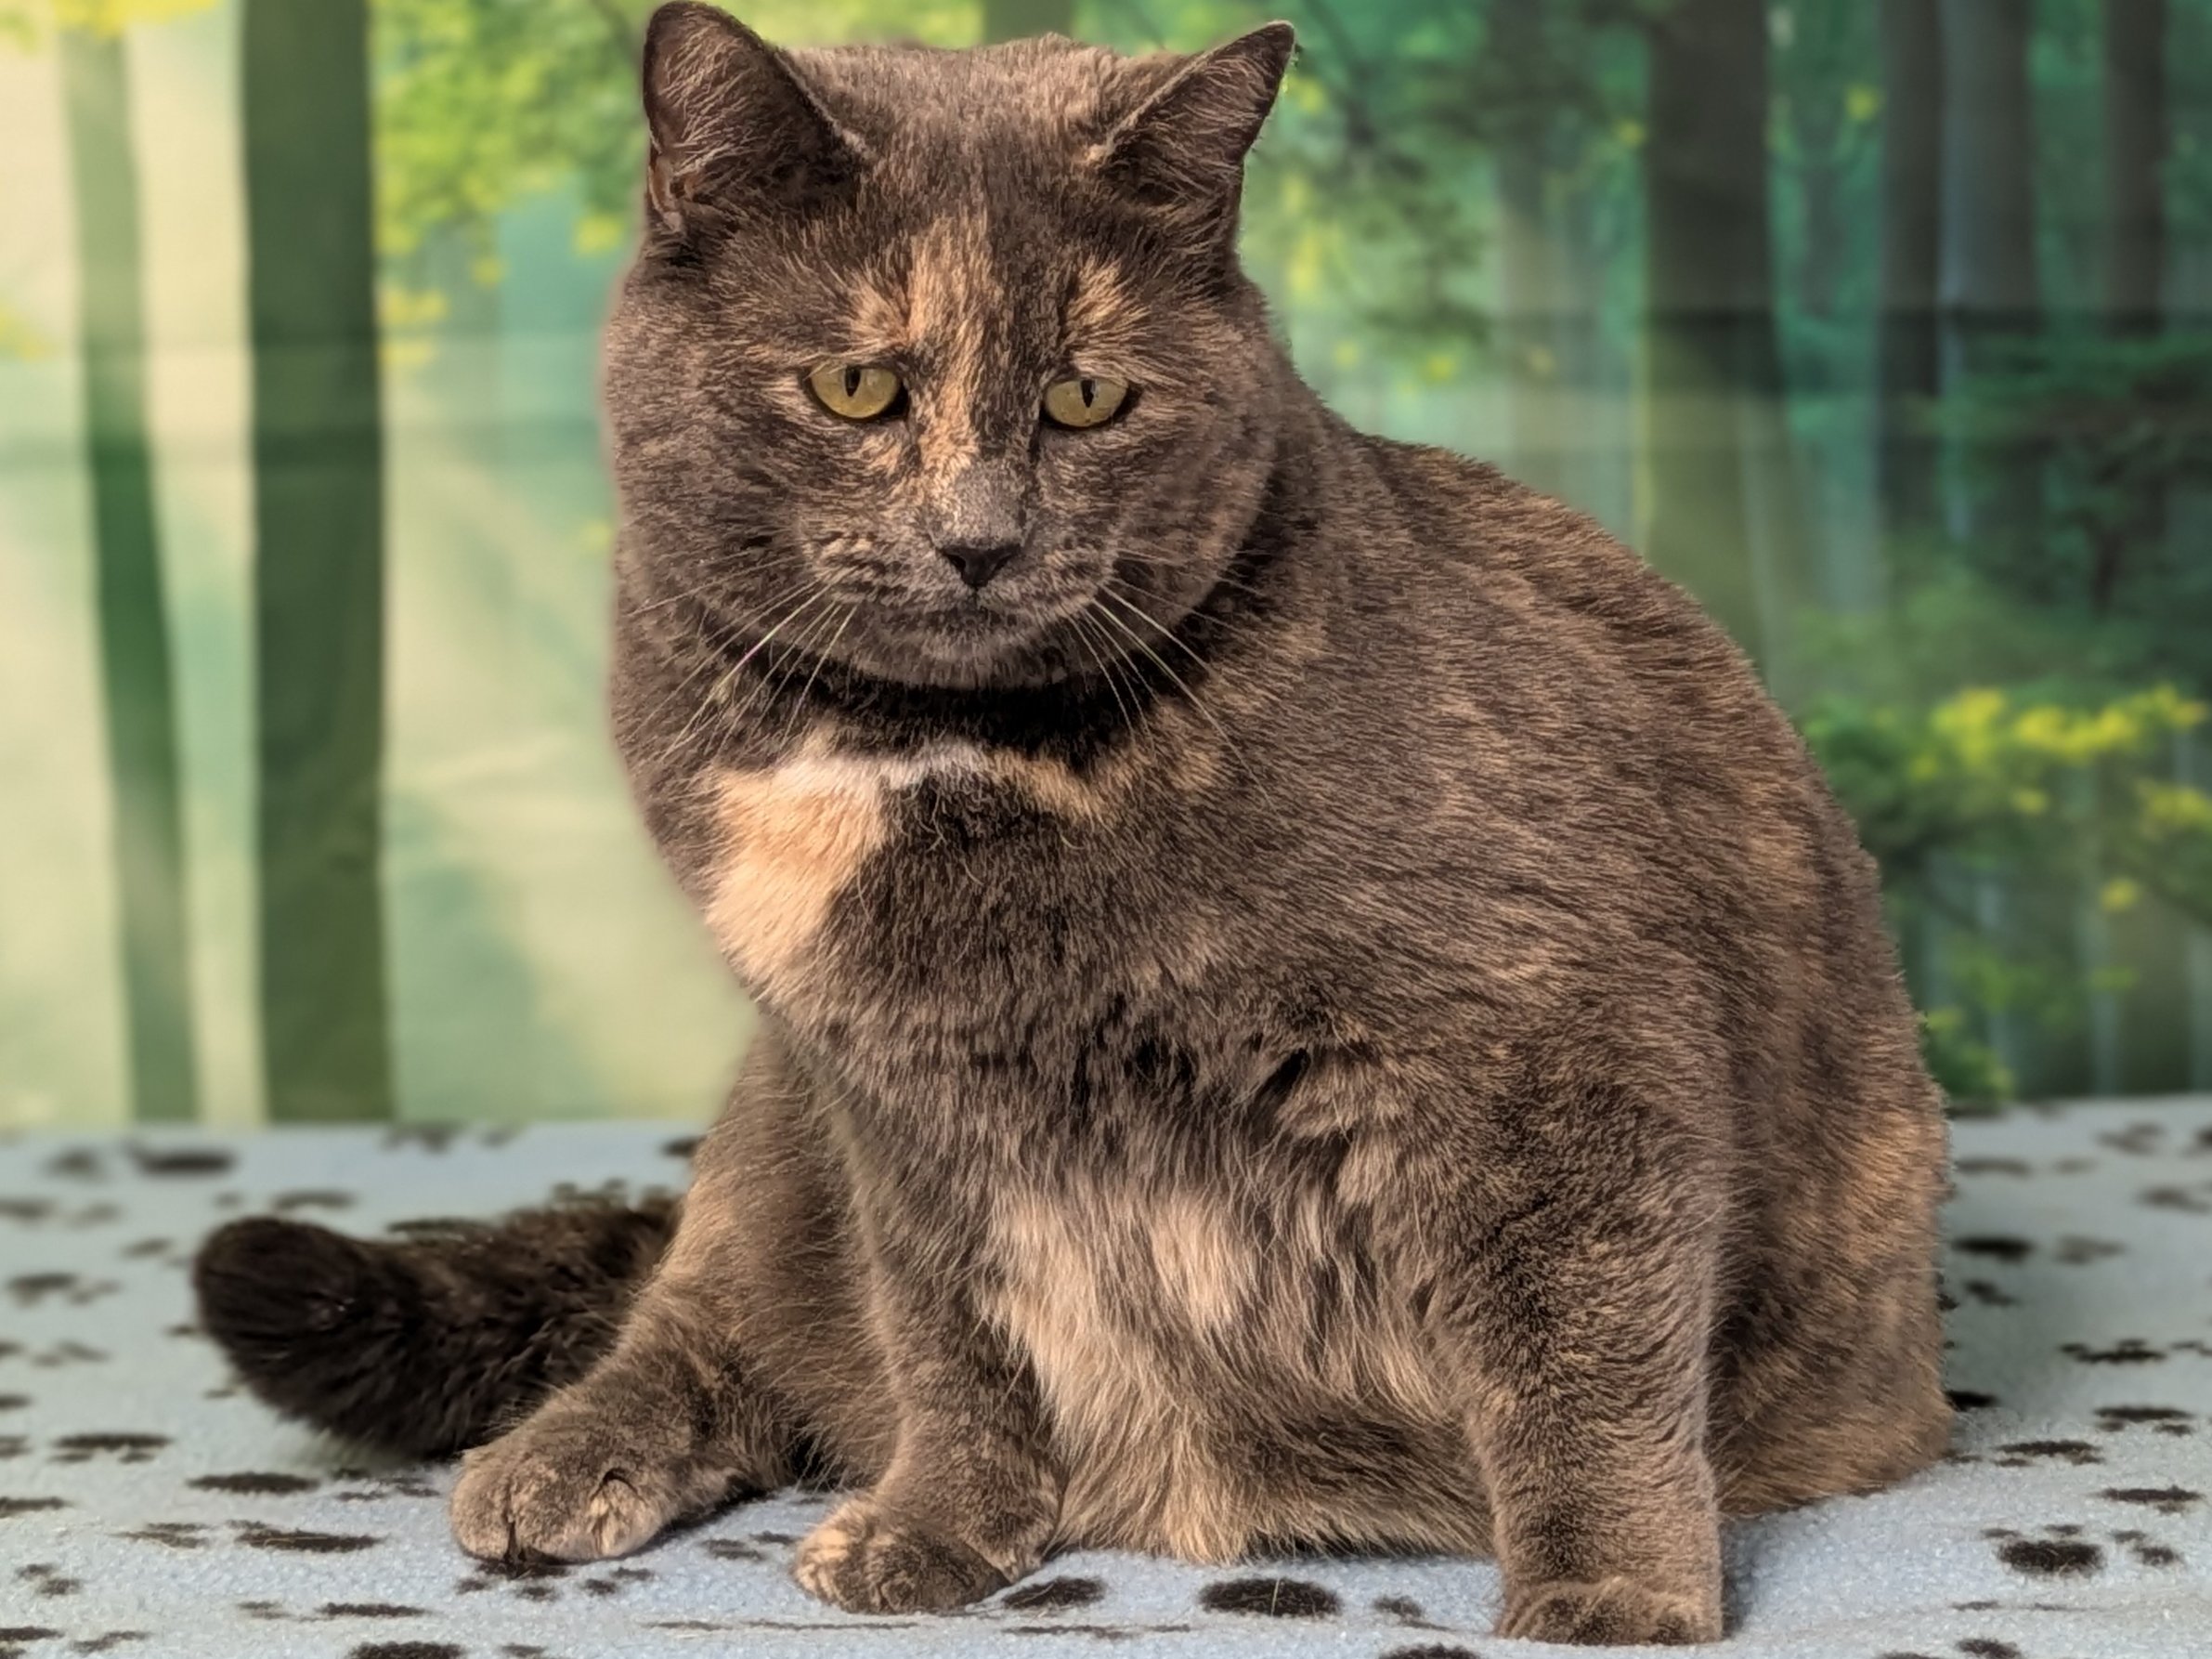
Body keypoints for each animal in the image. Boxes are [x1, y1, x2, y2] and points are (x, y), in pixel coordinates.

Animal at [194, 3, 1952, 1644]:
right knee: (703, 1312)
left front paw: (1608, 1594)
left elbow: (1582, 1339)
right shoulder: (893, 1106)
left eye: (1088, 394)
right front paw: (933, 1527)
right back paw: (555, 1464)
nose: (978, 537)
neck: (927, 753)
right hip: (773, 1124)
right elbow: (955, 1340)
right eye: (857, 383)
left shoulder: (1559, 1037)